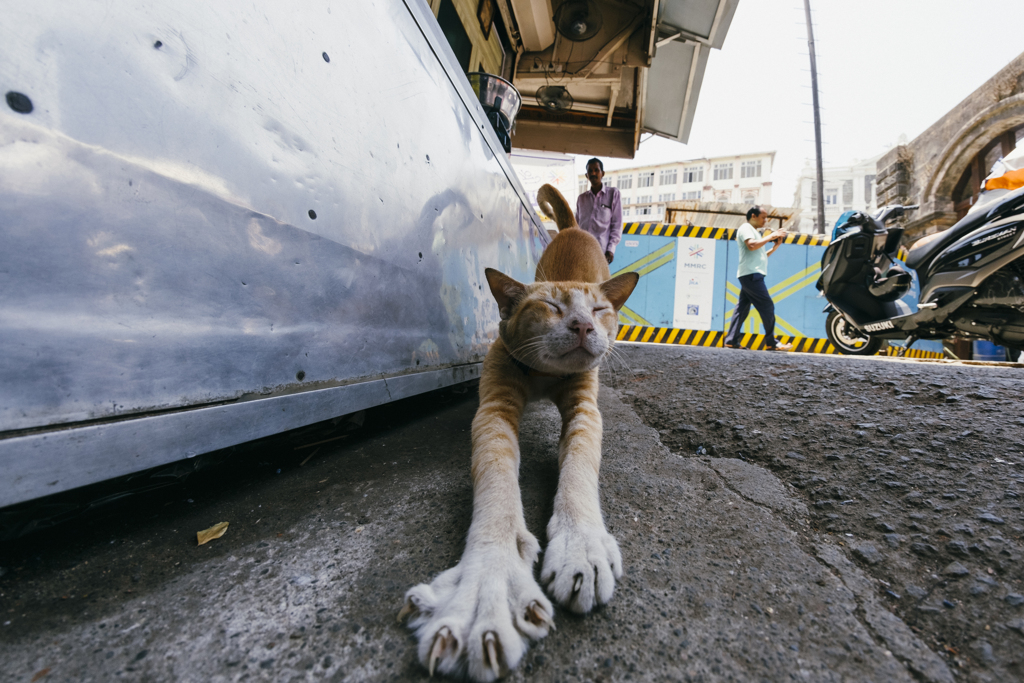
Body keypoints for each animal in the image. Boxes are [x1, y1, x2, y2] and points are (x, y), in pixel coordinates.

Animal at [401, 184, 634, 679]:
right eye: (550, 306)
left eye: (599, 310)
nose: (584, 325)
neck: (545, 375)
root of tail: (574, 227)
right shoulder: (493, 413)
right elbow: (496, 492)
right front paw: (486, 589)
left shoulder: (586, 410)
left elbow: (579, 469)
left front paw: (581, 547)